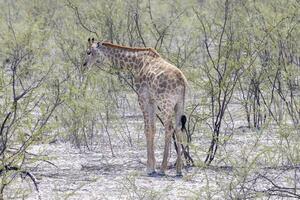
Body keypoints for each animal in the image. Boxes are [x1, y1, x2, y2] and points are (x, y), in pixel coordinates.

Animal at [83, 37, 188, 177]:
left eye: (89, 52)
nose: (84, 65)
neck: (137, 63)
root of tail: (182, 82)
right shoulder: (152, 101)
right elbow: (153, 128)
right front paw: (152, 166)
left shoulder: (143, 99)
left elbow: (147, 129)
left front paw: (150, 168)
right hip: (179, 104)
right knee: (178, 128)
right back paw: (178, 170)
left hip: (166, 103)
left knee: (169, 128)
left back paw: (162, 169)